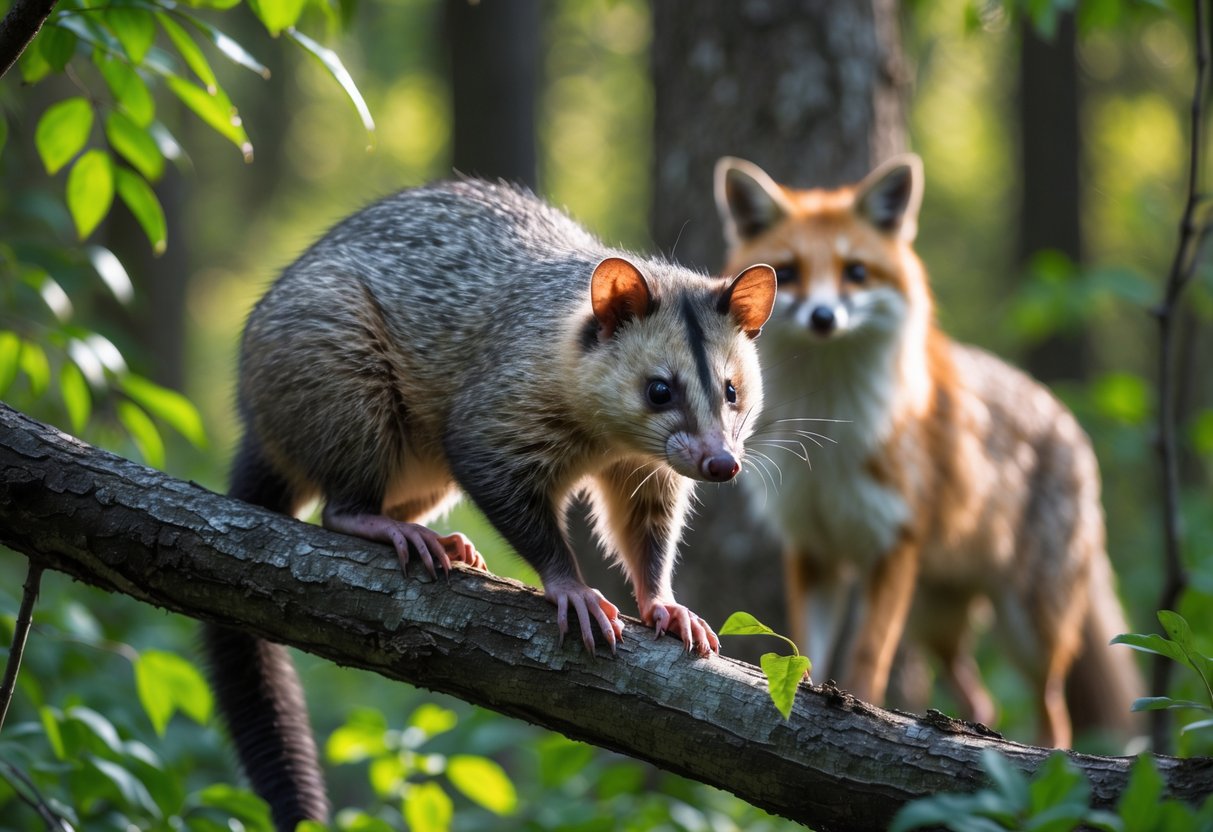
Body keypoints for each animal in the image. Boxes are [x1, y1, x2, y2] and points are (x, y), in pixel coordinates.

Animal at [713, 154, 1143, 747]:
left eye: (856, 272)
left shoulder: (894, 543)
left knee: (1053, 710)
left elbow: (866, 661)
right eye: (791, 271)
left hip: (1027, 627)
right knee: (982, 699)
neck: (826, 432)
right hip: (934, 619)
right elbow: (805, 652)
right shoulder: (813, 548)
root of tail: (1064, 417)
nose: (823, 317)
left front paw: (855, 711)